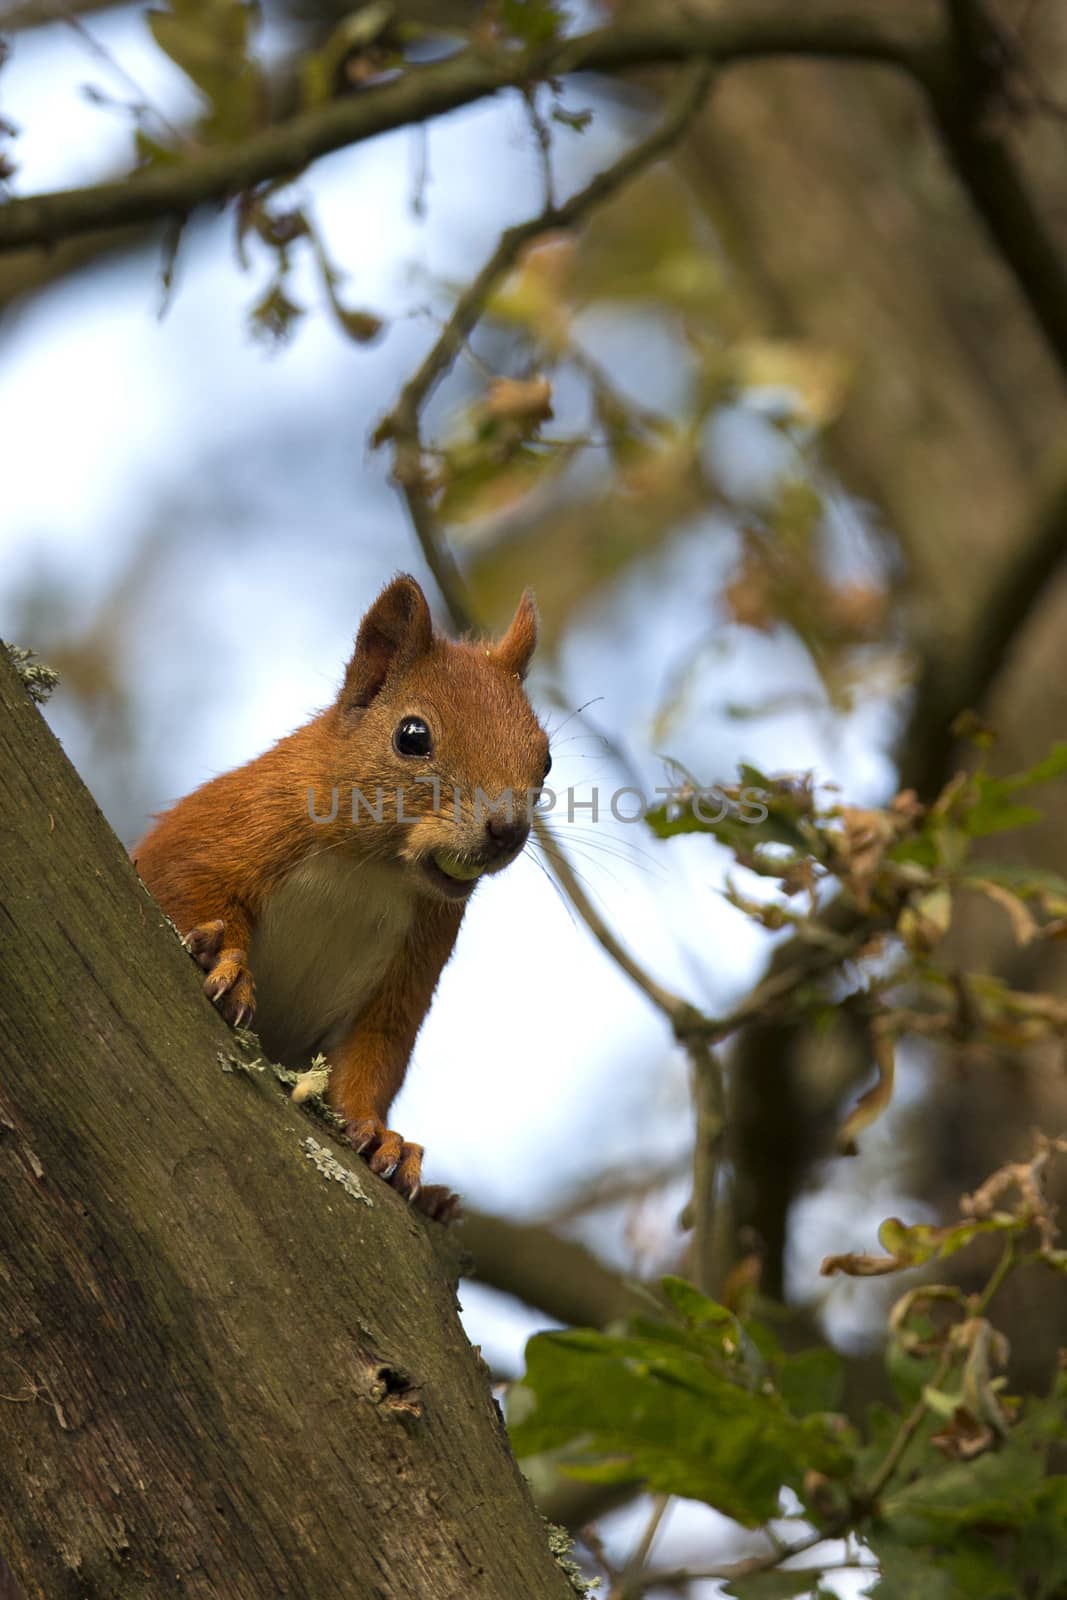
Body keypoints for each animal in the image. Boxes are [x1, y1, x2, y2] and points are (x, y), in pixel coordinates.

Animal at [131, 582, 550, 1216]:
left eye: (545, 759)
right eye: (412, 736)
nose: (508, 829)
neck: (372, 869)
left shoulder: (409, 969)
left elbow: (372, 1055)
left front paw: (384, 1138)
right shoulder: (220, 830)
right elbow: (183, 885)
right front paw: (223, 957)